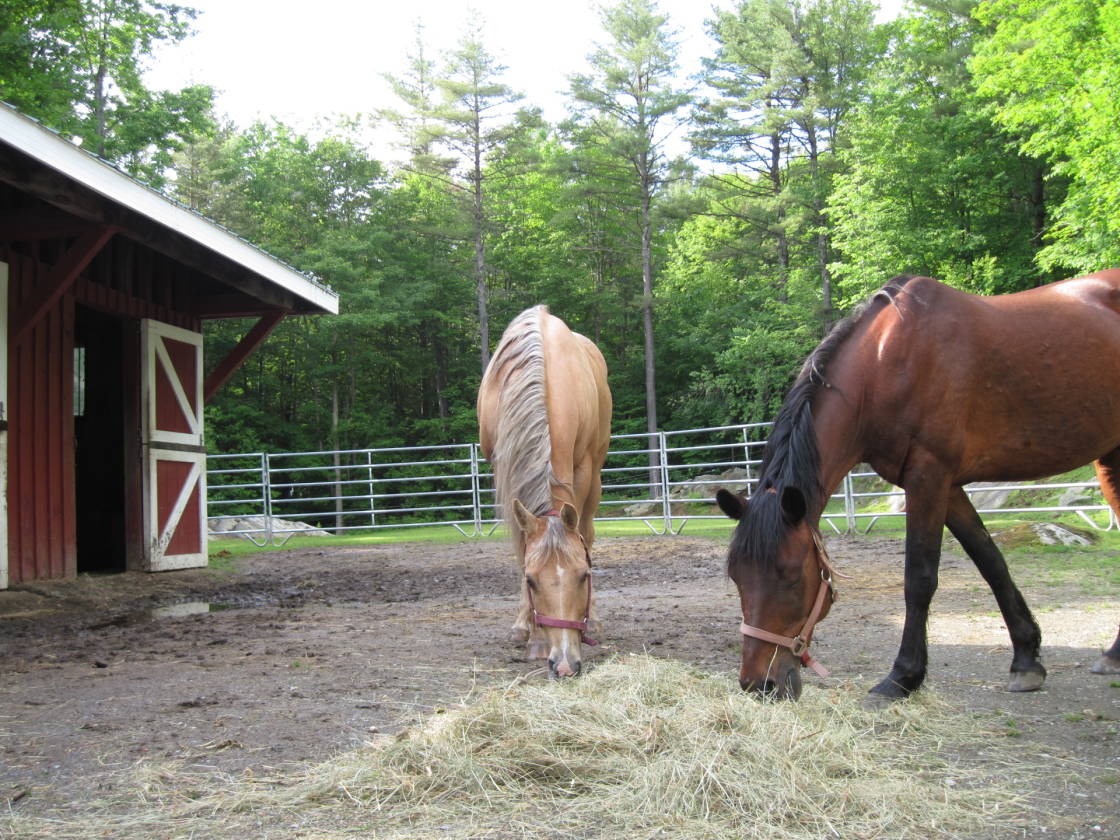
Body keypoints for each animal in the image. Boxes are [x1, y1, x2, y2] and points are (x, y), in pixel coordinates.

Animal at [477, 305, 612, 679]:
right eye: (531, 580)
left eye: (584, 576)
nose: (565, 663)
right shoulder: (502, 468)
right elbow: (519, 546)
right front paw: (529, 631)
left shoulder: (581, 468)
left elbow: (581, 536)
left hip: (596, 470)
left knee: (587, 531)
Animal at [715, 270, 1120, 704]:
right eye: (736, 577)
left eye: (790, 576)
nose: (759, 684)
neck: (885, 364)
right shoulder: (950, 486)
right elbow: (991, 562)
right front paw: (1026, 659)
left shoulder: (928, 477)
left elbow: (919, 578)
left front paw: (903, 676)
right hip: (1110, 457)